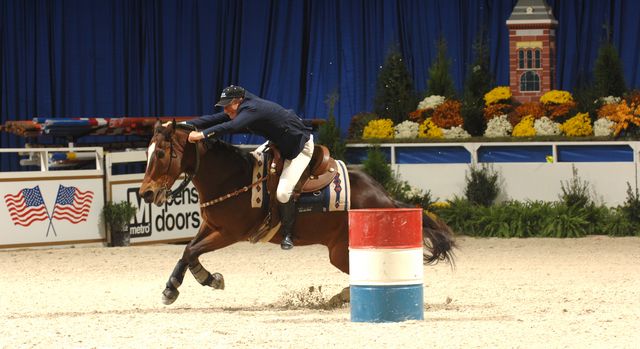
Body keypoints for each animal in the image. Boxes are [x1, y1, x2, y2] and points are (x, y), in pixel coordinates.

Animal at [139, 121, 456, 304]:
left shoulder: (229, 233)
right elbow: (188, 251)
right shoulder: (210, 226)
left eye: (161, 154)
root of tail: (384, 197)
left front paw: (196, 282)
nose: (145, 193)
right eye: (147, 152)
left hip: (342, 252)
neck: (233, 177)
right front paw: (186, 284)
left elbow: (192, 250)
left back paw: (345, 297)